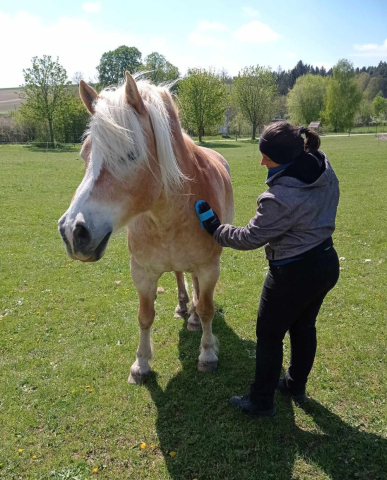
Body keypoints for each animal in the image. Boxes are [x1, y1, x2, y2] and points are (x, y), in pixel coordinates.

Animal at [57, 71, 233, 384]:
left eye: (130, 154)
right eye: (84, 155)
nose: (72, 232)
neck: (168, 215)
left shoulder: (209, 268)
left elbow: (207, 308)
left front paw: (208, 354)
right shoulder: (141, 272)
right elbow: (145, 316)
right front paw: (140, 364)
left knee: (196, 288)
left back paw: (193, 318)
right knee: (180, 276)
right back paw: (183, 307)